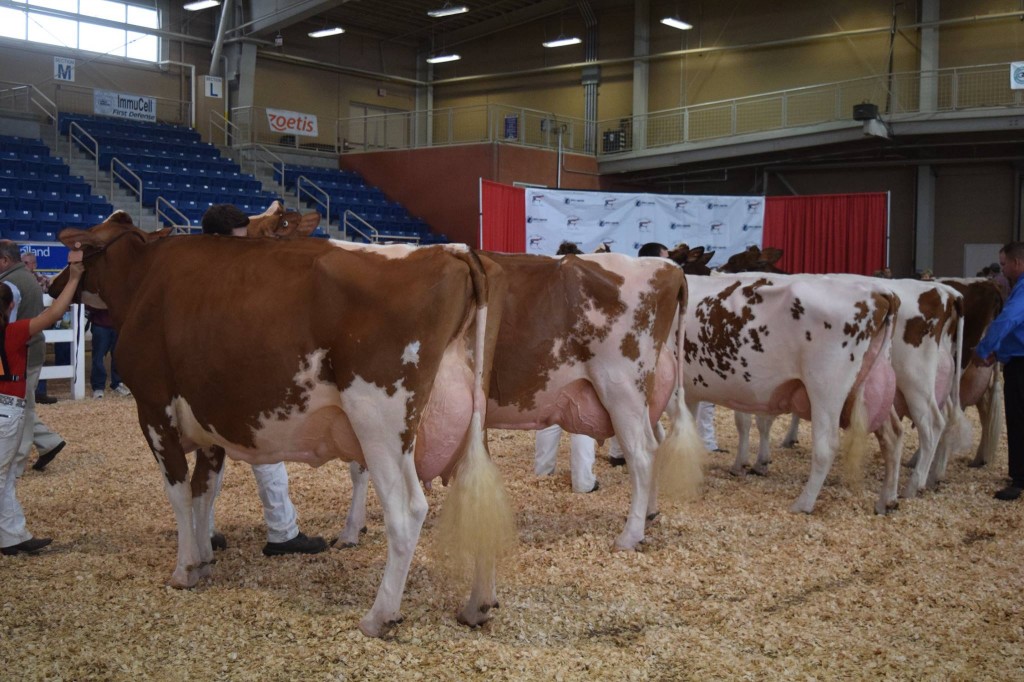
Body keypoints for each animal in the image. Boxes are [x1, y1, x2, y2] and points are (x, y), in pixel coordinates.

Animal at [50, 212, 514, 638]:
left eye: (82, 251)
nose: (55, 285)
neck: (143, 279)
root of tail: (452, 251)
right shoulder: (209, 421)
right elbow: (205, 491)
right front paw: (205, 557)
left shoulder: (153, 407)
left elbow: (179, 492)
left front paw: (184, 568)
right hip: (465, 421)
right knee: (479, 497)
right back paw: (477, 605)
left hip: (380, 420)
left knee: (407, 511)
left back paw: (379, 616)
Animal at [341, 250, 706, 552]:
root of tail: (669, 268)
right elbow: (359, 467)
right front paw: (355, 528)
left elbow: (360, 467)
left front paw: (351, 530)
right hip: (643, 397)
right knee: (656, 442)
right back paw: (649, 514)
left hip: (622, 388)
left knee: (642, 455)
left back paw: (629, 536)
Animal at [682, 273, 899, 513]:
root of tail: (878, 291)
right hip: (874, 385)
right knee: (893, 436)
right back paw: (887, 501)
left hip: (826, 386)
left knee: (827, 445)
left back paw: (803, 503)